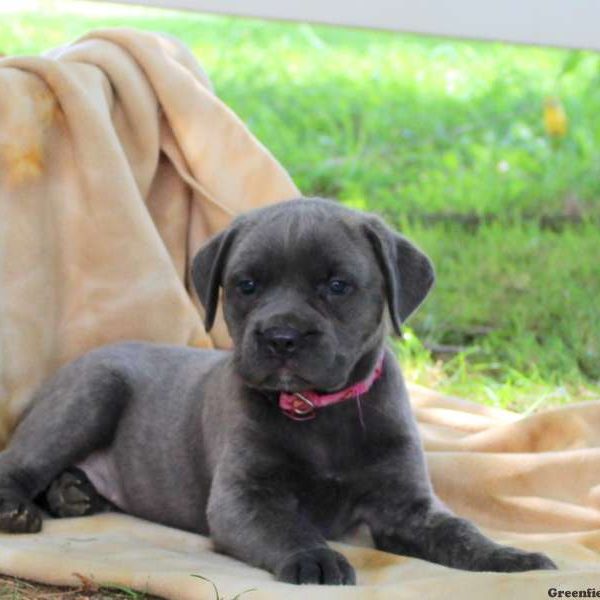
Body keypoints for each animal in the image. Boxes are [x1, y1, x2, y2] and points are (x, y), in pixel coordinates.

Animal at [0, 199, 556, 584]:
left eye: (337, 286)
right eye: (246, 285)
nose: (281, 337)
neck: (317, 410)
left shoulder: (407, 507)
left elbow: (460, 532)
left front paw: (510, 557)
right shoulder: (245, 498)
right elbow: (287, 527)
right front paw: (315, 558)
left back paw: (73, 493)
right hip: (91, 396)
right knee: (18, 463)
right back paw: (21, 509)